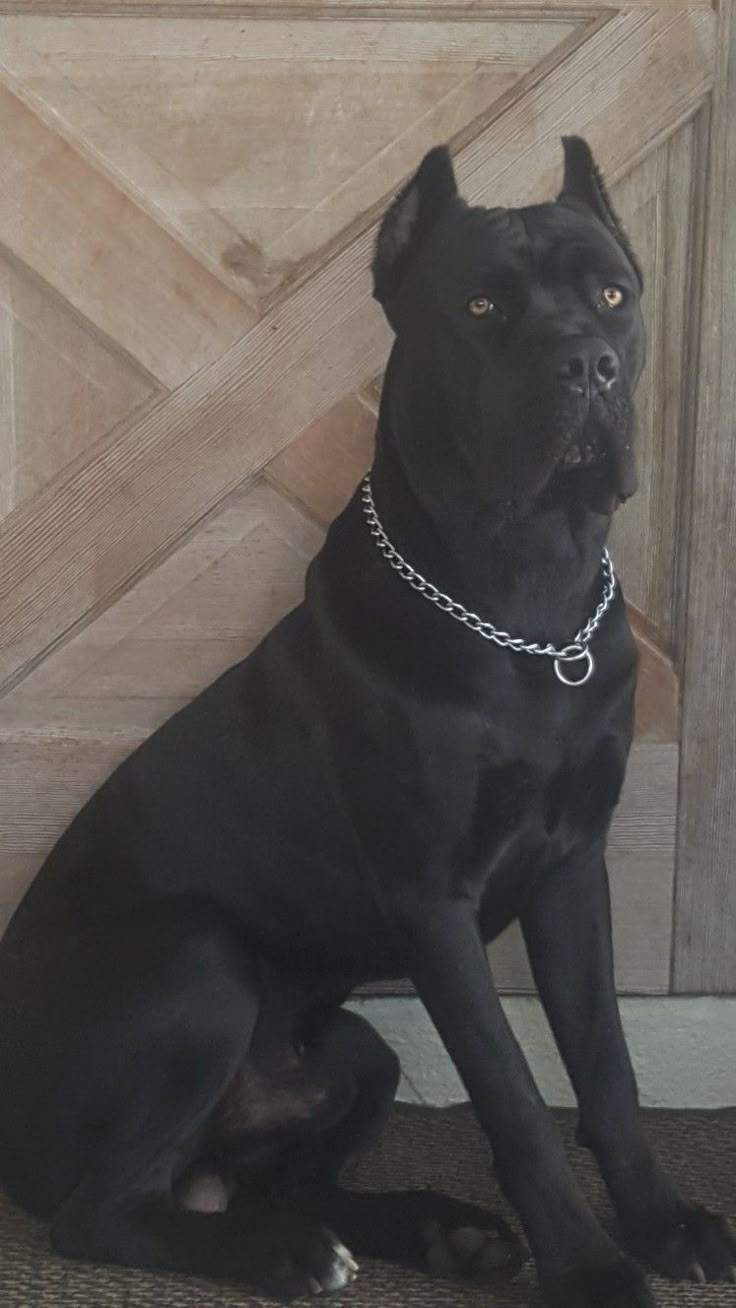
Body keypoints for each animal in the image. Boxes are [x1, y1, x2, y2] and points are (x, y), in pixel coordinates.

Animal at [1, 137, 736, 1302]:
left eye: (615, 295)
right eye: (481, 306)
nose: (586, 366)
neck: (528, 598)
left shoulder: (573, 867)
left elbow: (606, 1068)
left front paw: (660, 1227)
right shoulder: (432, 899)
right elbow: (514, 1097)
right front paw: (591, 1269)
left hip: (355, 1046)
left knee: (279, 1177)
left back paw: (443, 1233)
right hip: (198, 959)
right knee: (103, 1212)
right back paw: (293, 1254)